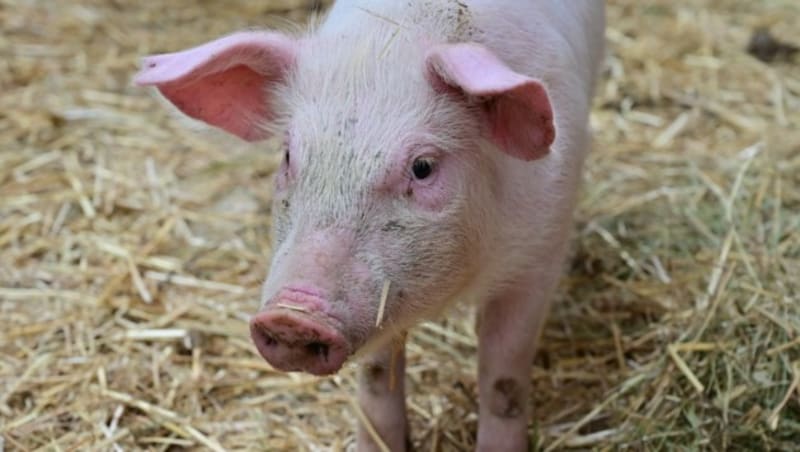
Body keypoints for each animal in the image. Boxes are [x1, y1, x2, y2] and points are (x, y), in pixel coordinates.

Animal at [134, 1, 604, 450]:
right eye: (287, 155)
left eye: (423, 167)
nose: (292, 316)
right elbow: (378, 376)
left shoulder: (541, 253)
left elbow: (503, 377)